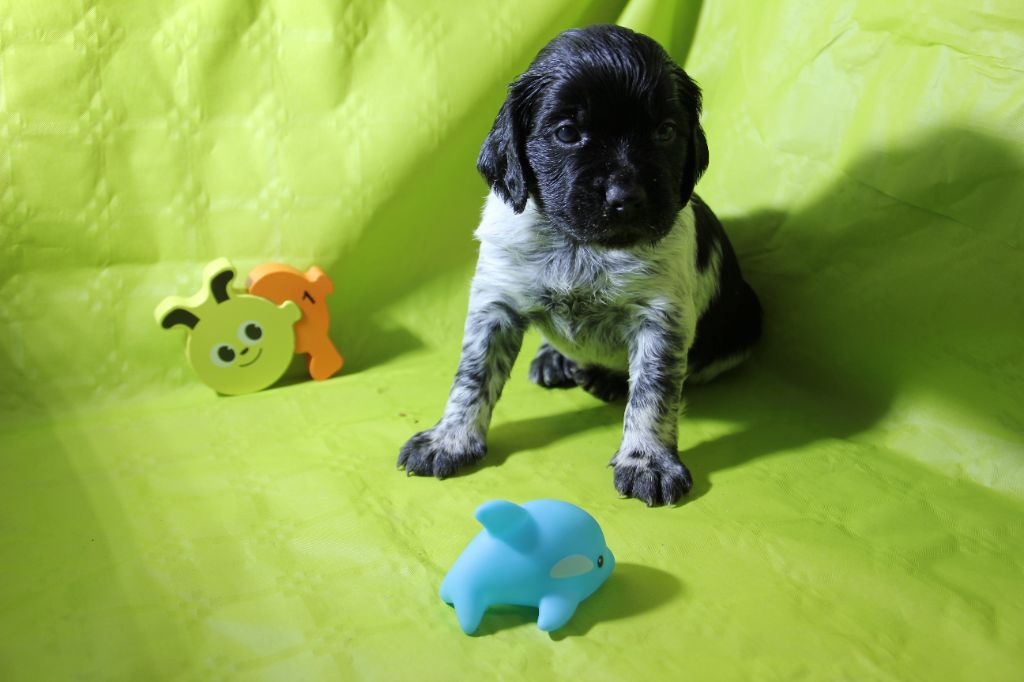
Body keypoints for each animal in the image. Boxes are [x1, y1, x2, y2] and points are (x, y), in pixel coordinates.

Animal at [398, 24, 762, 506]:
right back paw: (555, 358)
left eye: (666, 132)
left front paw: (648, 461)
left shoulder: (661, 320)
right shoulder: (496, 303)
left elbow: (653, 394)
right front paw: (449, 439)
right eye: (568, 132)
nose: (626, 198)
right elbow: (472, 377)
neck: (579, 247)